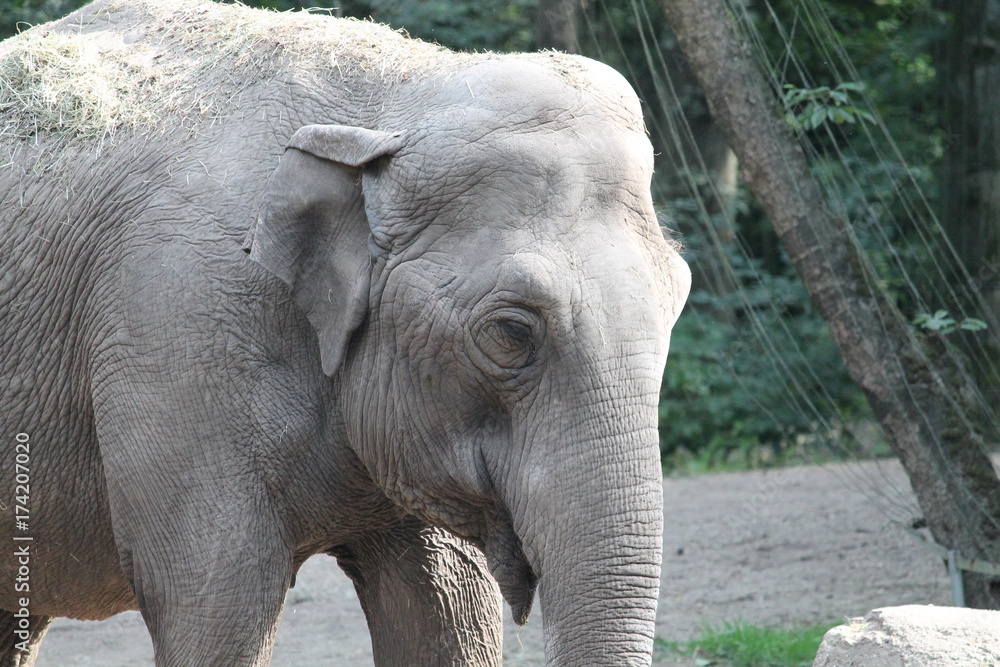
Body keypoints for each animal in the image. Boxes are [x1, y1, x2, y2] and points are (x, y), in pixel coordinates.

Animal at [0, 0, 690, 665]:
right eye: (512, 332)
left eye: (678, 297)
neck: (392, 104)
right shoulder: (172, 322)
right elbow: (214, 606)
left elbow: (447, 611)